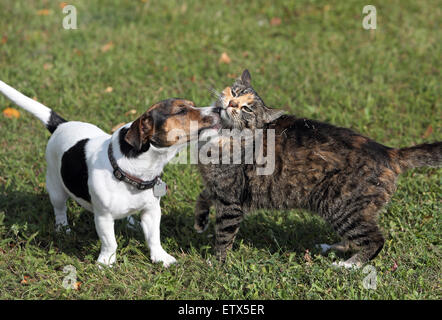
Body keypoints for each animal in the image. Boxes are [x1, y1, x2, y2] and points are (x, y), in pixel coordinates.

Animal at [0, 80, 221, 268]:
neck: (132, 171)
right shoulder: (103, 217)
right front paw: (106, 262)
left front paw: (160, 257)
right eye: (181, 110)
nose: (219, 109)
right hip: (55, 187)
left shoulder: (151, 211)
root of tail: (61, 124)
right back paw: (63, 228)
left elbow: (153, 237)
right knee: (60, 209)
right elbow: (110, 242)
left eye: (192, 105)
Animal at [196, 69, 442, 268]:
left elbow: (224, 236)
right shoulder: (216, 187)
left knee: (374, 240)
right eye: (235, 92)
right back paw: (330, 248)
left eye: (247, 108)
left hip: (340, 207)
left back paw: (348, 265)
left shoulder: (231, 199)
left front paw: (215, 263)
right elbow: (203, 195)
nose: (231, 104)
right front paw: (200, 221)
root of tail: (388, 151)